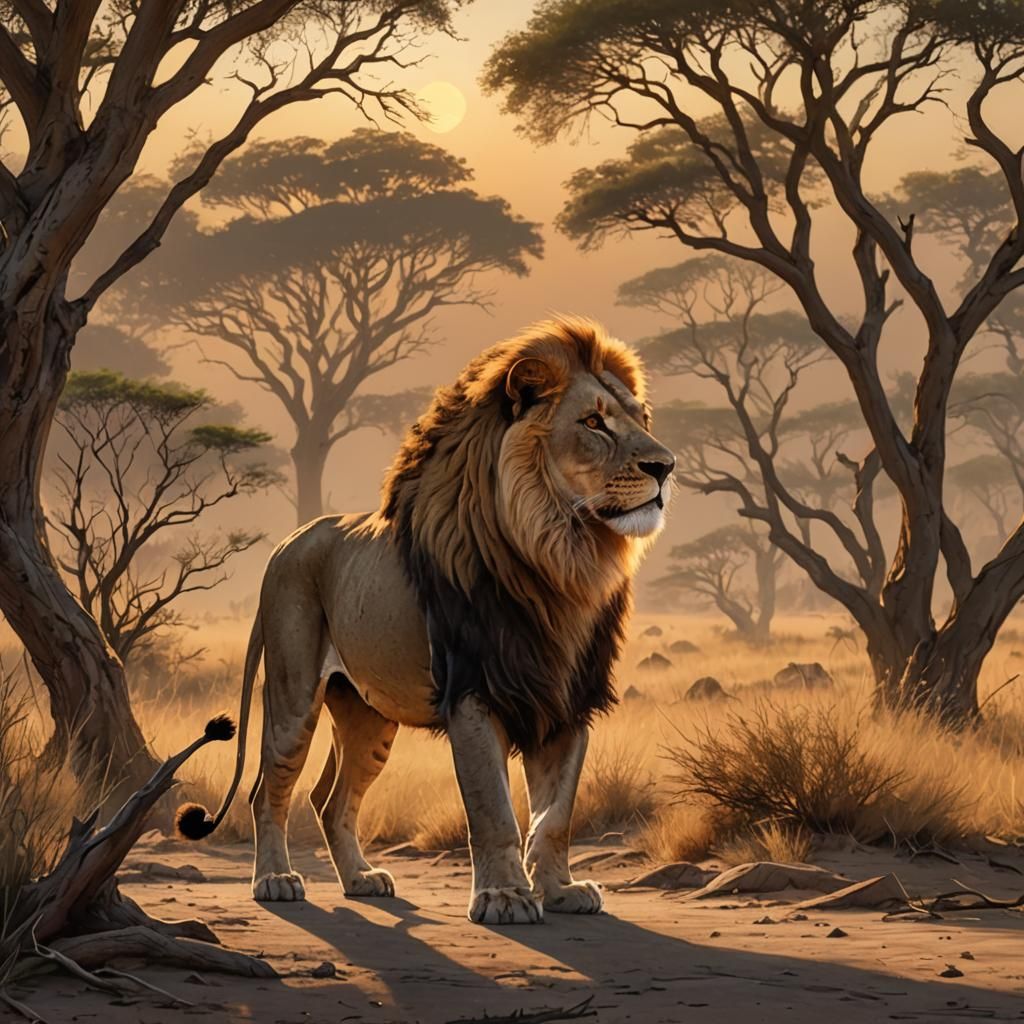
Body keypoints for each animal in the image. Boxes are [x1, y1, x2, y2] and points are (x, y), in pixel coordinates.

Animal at [177, 315, 675, 925]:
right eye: (592, 423)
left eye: (642, 420)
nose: (665, 466)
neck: (561, 559)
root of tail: (287, 542)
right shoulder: (473, 693)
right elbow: (493, 809)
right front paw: (504, 897)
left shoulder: (565, 701)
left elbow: (556, 814)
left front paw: (560, 891)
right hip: (294, 694)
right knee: (268, 789)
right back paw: (274, 880)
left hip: (368, 716)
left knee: (330, 800)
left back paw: (361, 879)